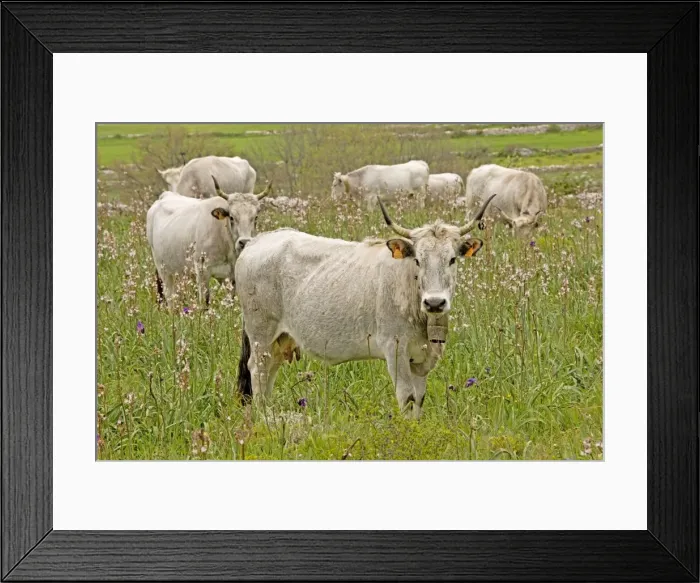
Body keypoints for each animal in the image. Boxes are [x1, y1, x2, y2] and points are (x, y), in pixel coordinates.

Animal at [146, 177, 271, 306]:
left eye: (256, 217)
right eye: (231, 217)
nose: (244, 242)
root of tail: (165, 196)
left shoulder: (231, 277)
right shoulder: (202, 270)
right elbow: (205, 301)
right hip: (163, 269)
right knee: (170, 296)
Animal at [234, 193, 496, 419]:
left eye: (452, 259)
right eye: (418, 260)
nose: (434, 302)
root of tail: (257, 241)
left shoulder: (422, 359)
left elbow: (419, 399)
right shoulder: (395, 350)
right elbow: (407, 398)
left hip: (279, 340)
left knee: (269, 370)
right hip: (261, 334)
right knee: (257, 371)